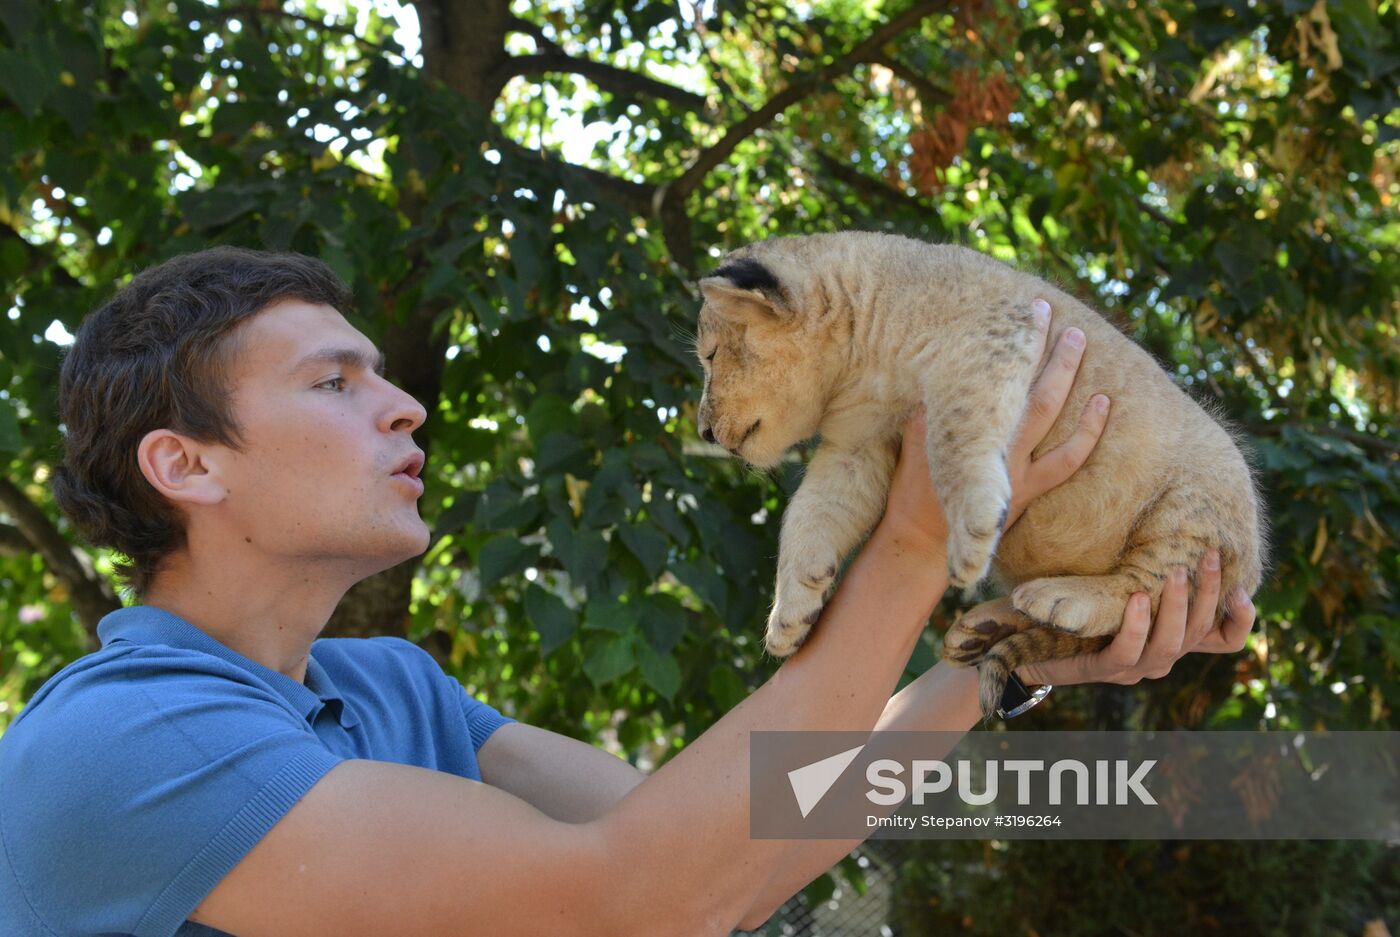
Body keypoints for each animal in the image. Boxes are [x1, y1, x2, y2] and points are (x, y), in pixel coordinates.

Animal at [692, 231, 1266, 717]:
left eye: (711, 355)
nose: (702, 431)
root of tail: (1250, 573)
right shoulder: (857, 448)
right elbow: (811, 515)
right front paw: (790, 616)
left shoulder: (990, 342)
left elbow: (954, 435)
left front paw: (971, 533)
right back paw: (983, 626)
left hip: (1193, 511)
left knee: (1148, 586)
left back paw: (1064, 598)